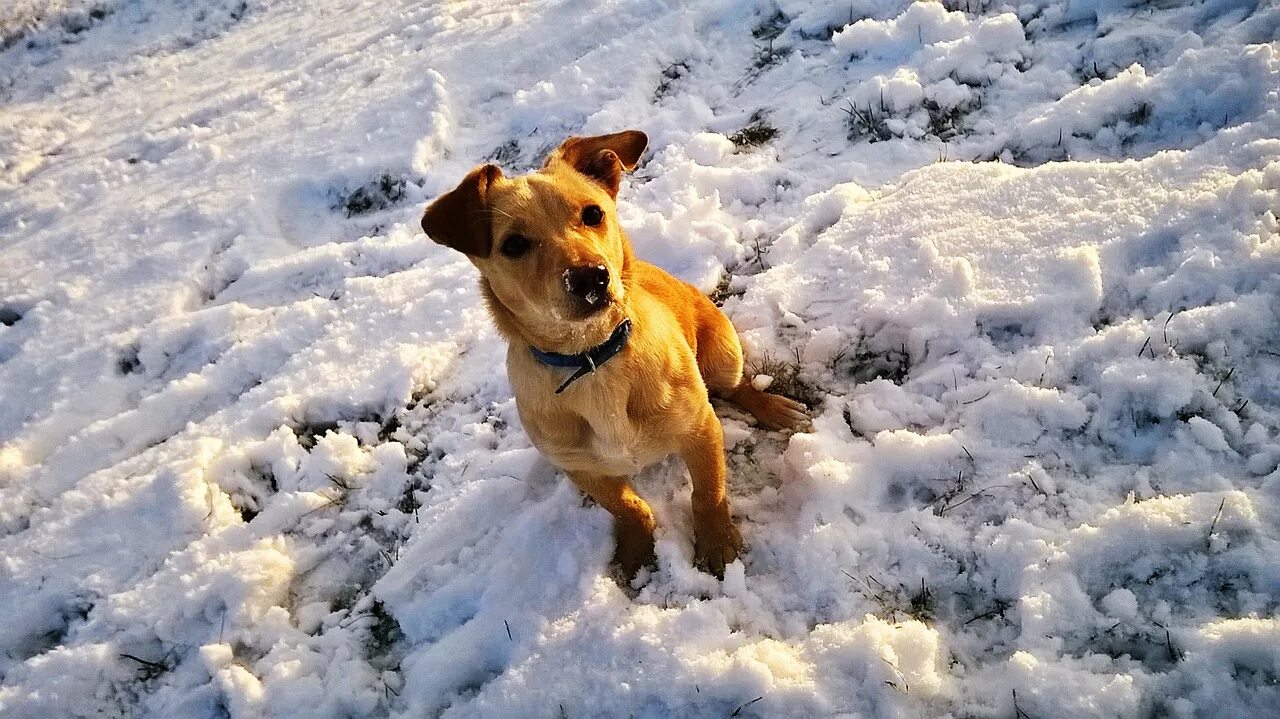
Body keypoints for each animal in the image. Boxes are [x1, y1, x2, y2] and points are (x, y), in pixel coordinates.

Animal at [419, 128, 803, 575]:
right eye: (513, 244)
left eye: (593, 214)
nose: (590, 278)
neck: (593, 357)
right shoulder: (582, 468)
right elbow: (628, 507)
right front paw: (636, 549)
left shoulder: (701, 429)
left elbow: (707, 494)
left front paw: (717, 544)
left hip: (725, 354)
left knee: (736, 386)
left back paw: (775, 408)